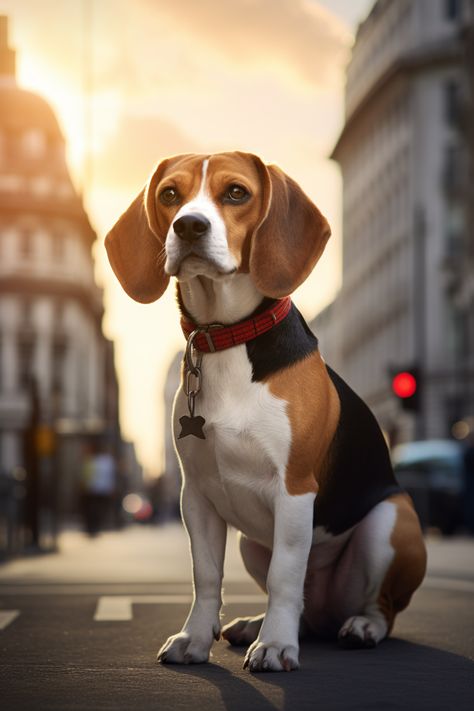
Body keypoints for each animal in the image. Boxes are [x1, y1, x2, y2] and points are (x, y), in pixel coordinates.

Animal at [105, 150, 428, 672]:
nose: (188, 225)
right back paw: (256, 624)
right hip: (249, 543)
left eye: (237, 192)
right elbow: (205, 574)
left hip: (390, 521)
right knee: (305, 609)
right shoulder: (195, 495)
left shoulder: (294, 490)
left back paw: (357, 626)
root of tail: (327, 612)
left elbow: (285, 574)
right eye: (170, 194)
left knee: (379, 607)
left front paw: (275, 645)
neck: (226, 338)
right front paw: (196, 638)